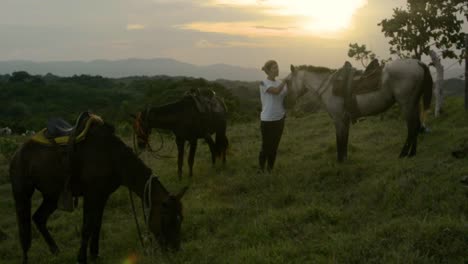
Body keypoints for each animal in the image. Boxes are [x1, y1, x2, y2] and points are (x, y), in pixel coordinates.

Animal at [8, 118, 186, 264]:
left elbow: (97, 225)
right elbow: (87, 227)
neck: (113, 157)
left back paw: (55, 250)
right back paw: (26, 258)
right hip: (22, 194)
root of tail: (17, 152)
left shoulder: (102, 195)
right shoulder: (91, 195)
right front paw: (82, 258)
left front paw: (94, 255)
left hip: (52, 196)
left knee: (39, 218)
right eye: (168, 219)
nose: (175, 249)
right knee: (24, 229)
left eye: (180, 219)